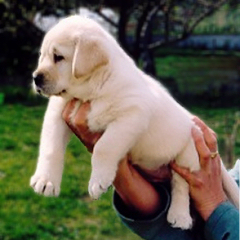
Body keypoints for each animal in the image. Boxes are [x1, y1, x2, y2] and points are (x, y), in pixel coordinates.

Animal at [30, 15, 238, 229]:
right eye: (42, 55)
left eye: (59, 57)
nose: (36, 78)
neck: (93, 89)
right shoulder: (57, 113)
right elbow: (51, 147)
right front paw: (45, 180)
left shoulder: (132, 115)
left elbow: (104, 147)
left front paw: (98, 180)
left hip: (188, 153)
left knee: (181, 186)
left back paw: (180, 216)